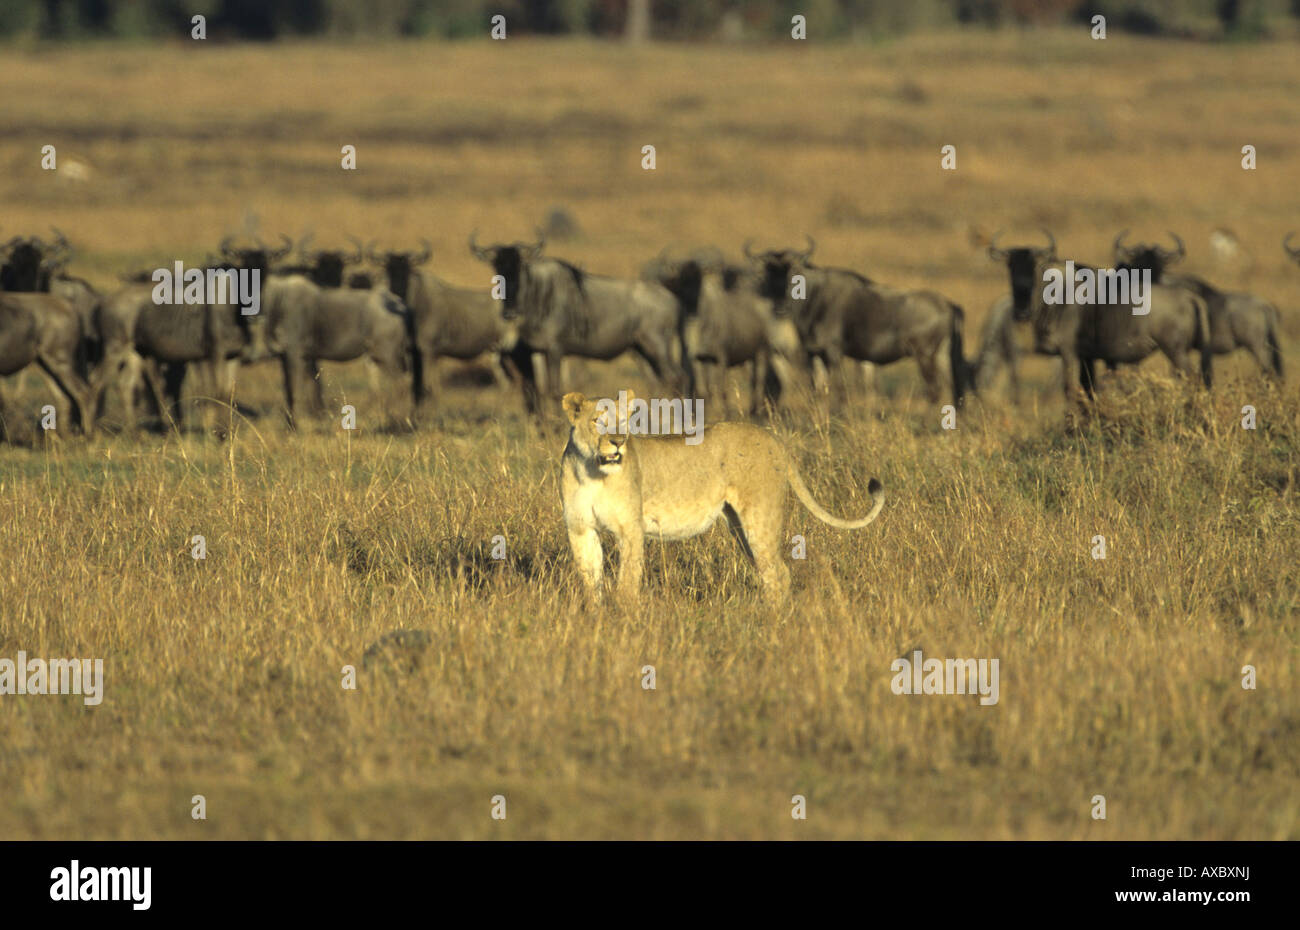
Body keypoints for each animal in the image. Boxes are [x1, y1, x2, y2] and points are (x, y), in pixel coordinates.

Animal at [559, 390, 884, 602]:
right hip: (740, 526)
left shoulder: (630, 529)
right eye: (598, 421)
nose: (619, 442)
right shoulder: (580, 528)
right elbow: (590, 579)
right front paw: (597, 620)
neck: (592, 471)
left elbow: (627, 583)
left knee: (779, 573)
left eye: (624, 423)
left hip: (760, 517)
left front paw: (626, 622)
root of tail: (774, 438)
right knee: (769, 572)